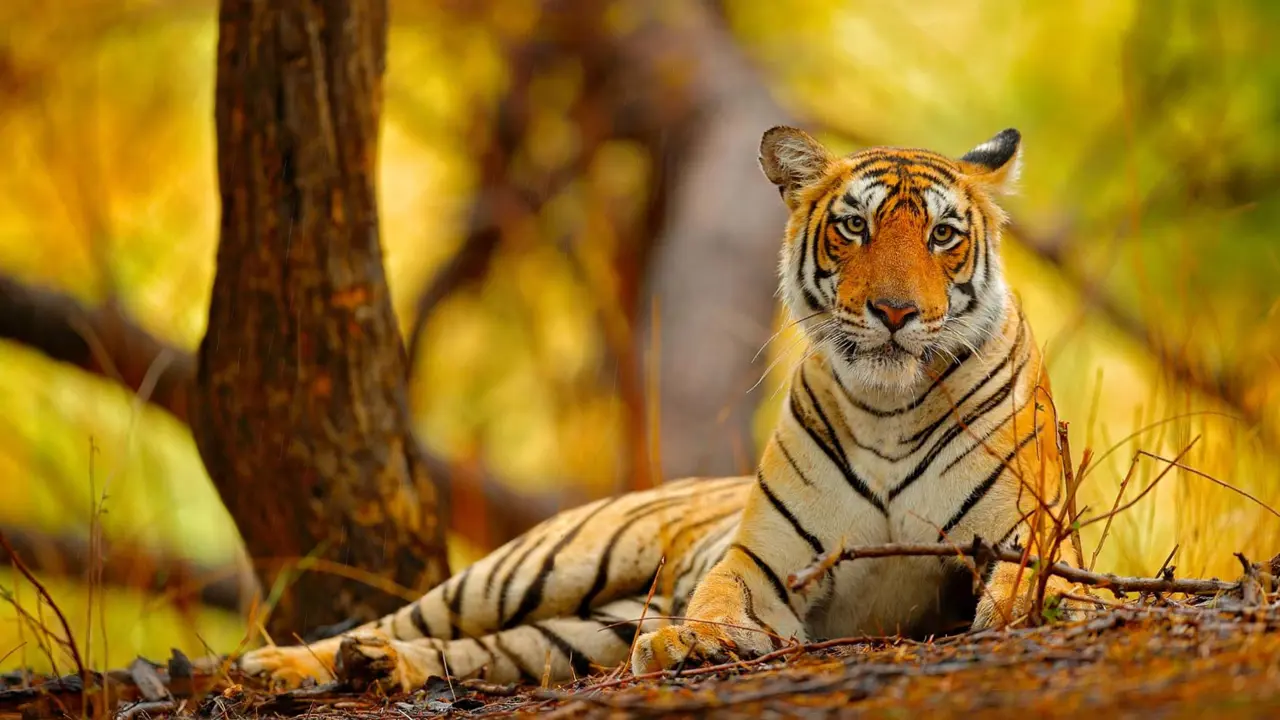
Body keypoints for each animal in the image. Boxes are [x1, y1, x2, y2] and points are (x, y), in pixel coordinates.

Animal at [236, 125, 1082, 692]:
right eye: (855, 226)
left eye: (942, 235)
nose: (896, 312)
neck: (889, 408)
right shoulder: (765, 558)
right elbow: (722, 598)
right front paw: (693, 641)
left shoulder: (1024, 535)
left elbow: (1032, 586)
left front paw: (1037, 613)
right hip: (531, 567)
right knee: (407, 619)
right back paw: (277, 664)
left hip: (578, 632)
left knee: (482, 653)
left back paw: (374, 669)